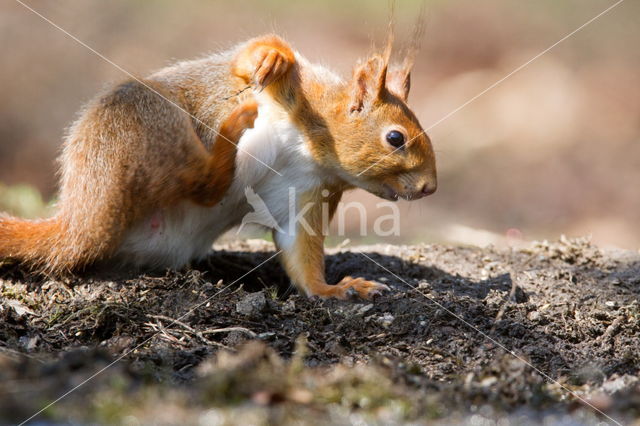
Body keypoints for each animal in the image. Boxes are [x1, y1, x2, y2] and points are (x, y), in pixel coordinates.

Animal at [0, 34, 436, 300]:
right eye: (395, 138)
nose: (430, 187)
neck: (312, 149)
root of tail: (81, 219)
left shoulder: (304, 191)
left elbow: (300, 251)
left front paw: (335, 289)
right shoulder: (299, 90)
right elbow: (250, 56)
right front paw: (272, 58)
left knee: (203, 189)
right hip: (148, 122)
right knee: (201, 183)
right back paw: (232, 130)